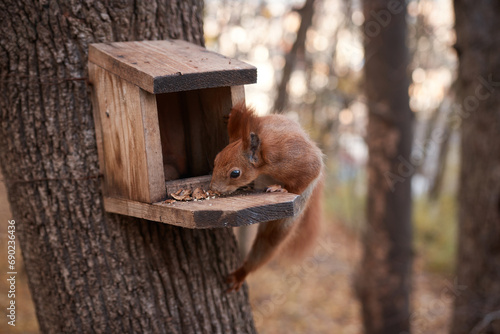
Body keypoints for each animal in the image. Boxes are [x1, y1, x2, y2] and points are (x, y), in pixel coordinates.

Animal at [210, 104, 324, 292]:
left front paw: (282, 189)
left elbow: (311, 170)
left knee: (268, 242)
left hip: (285, 221)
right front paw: (232, 116)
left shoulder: (295, 158)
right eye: (216, 159)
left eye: (235, 173)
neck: (264, 164)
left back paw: (242, 272)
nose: (213, 189)